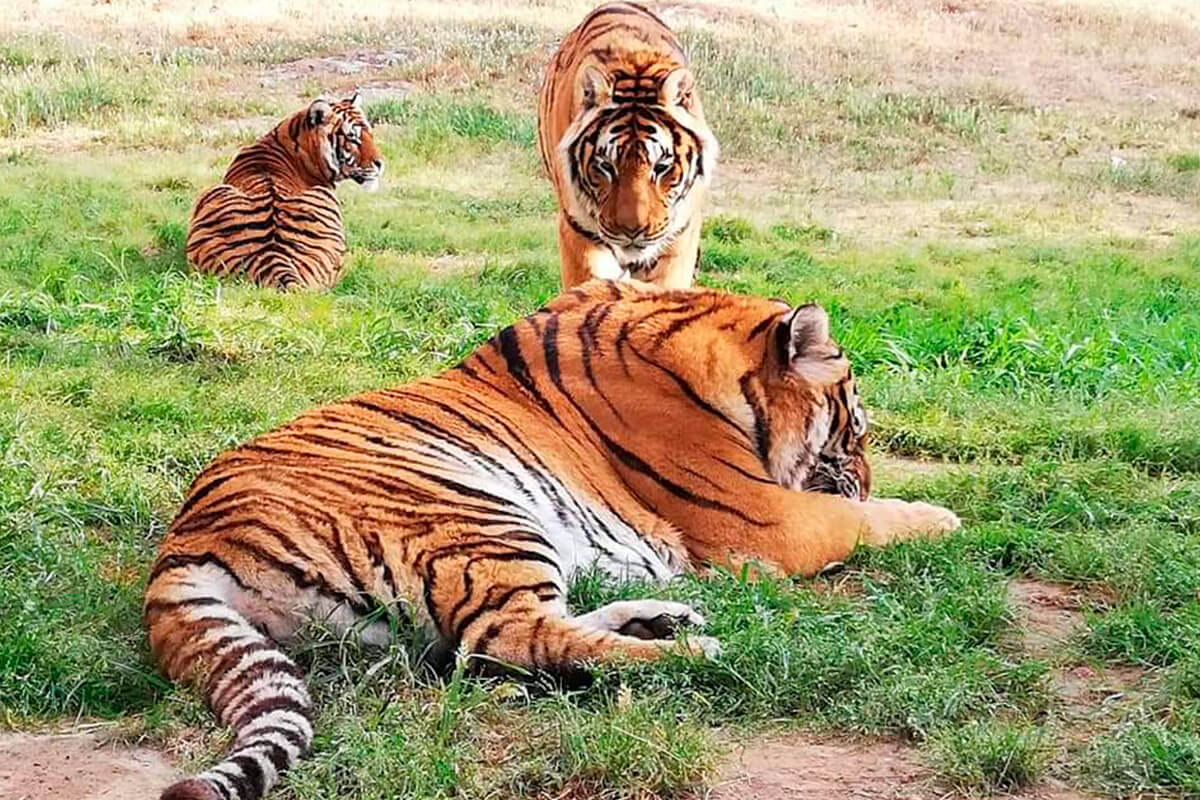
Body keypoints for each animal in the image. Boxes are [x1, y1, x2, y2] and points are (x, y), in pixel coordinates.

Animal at [147, 280, 955, 800]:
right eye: (858, 426)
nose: (863, 475)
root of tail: (182, 547)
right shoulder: (762, 522)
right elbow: (863, 522)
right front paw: (941, 518)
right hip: (479, 514)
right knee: (510, 641)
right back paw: (693, 648)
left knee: (519, 635)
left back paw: (664, 619)